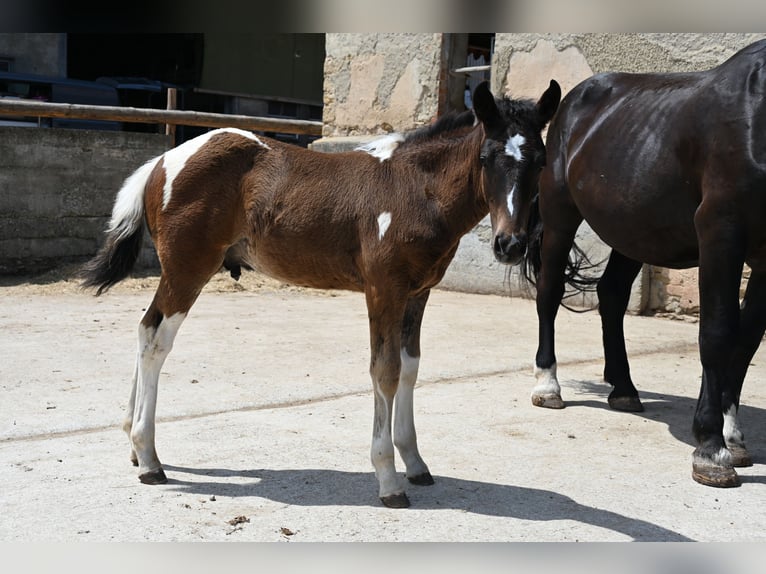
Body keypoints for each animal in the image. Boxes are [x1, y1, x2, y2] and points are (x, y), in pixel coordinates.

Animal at [80, 80, 561, 508]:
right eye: (486, 157)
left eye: (539, 161)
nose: (510, 245)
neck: (414, 190)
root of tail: (162, 160)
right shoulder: (383, 289)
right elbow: (384, 371)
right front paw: (388, 479)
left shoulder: (418, 293)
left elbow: (409, 368)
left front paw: (415, 462)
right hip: (187, 269)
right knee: (155, 339)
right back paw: (149, 458)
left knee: (144, 328)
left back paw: (134, 445)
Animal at [506, 39, 766, 489]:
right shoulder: (722, 233)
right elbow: (717, 334)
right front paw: (711, 448)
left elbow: (746, 341)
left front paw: (733, 436)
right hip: (560, 215)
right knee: (550, 292)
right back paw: (548, 385)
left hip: (633, 230)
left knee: (611, 295)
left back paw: (624, 389)